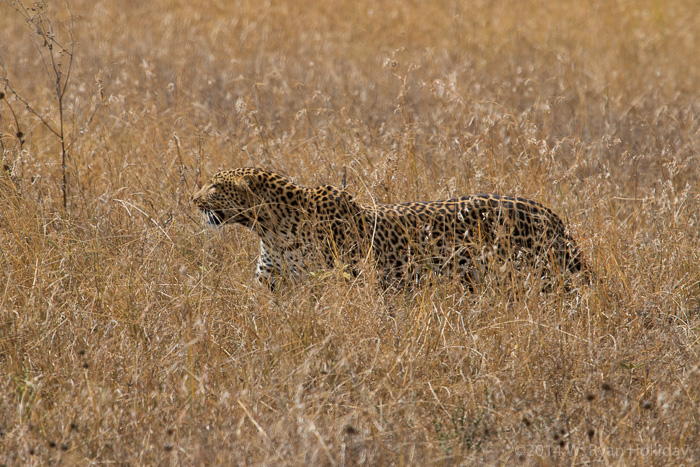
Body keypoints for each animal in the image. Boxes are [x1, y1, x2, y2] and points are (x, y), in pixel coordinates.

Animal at [190, 168, 584, 290]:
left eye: (215, 186)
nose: (191, 199)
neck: (272, 229)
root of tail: (550, 214)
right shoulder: (271, 280)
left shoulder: (345, 279)